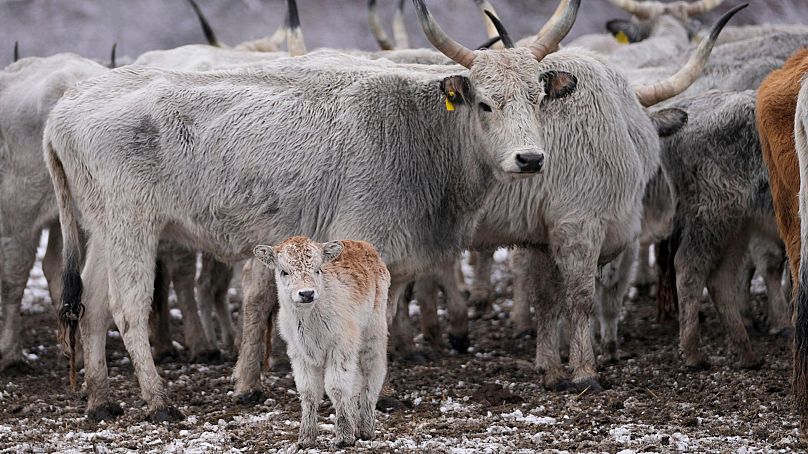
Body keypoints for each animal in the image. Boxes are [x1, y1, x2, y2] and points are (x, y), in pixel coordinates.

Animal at [252, 236, 392, 448]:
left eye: (318, 269)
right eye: (284, 271)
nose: (307, 293)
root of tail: (363, 244)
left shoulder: (340, 346)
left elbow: (336, 387)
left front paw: (344, 436)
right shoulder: (299, 353)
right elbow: (309, 391)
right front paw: (306, 437)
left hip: (373, 332)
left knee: (372, 377)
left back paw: (366, 429)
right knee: (357, 382)